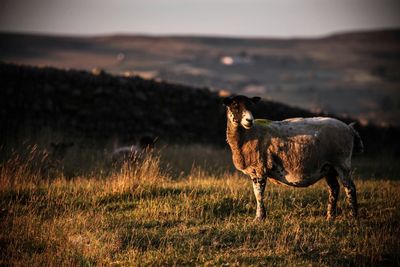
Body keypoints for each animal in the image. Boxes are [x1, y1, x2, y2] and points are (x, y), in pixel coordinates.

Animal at [223, 95, 364, 221]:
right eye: (235, 105)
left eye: (251, 105)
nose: (249, 120)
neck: (249, 135)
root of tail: (349, 128)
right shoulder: (256, 170)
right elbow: (257, 194)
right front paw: (260, 217)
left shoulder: (260, 168)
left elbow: (258, 194)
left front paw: (259, 218)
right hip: (328, 167)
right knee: (334, 188)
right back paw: (330, 217)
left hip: (341, 162)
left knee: (350, 188)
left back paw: (353, 217)